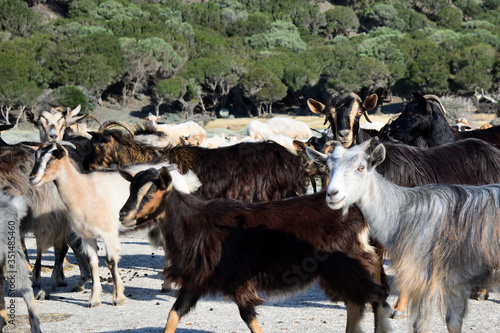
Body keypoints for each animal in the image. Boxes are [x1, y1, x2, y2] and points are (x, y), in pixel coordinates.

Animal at [28, 141, 199, 308]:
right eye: (35, 157)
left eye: (52, 158)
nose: (32, 178)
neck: (83, 189)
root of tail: (181, 178)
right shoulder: (87, 235)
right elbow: (92, 263)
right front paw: (94, 299)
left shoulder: (108, 233)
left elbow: (110, 262)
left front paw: (118, 298)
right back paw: (166, 286)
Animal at [306, 138, 500, 332]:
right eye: (328, 167)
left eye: (361, 167)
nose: (332, 194)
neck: (404, 213)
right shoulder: (453, 281)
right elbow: (453, 322)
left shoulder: (425, 278)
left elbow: (421, 324)